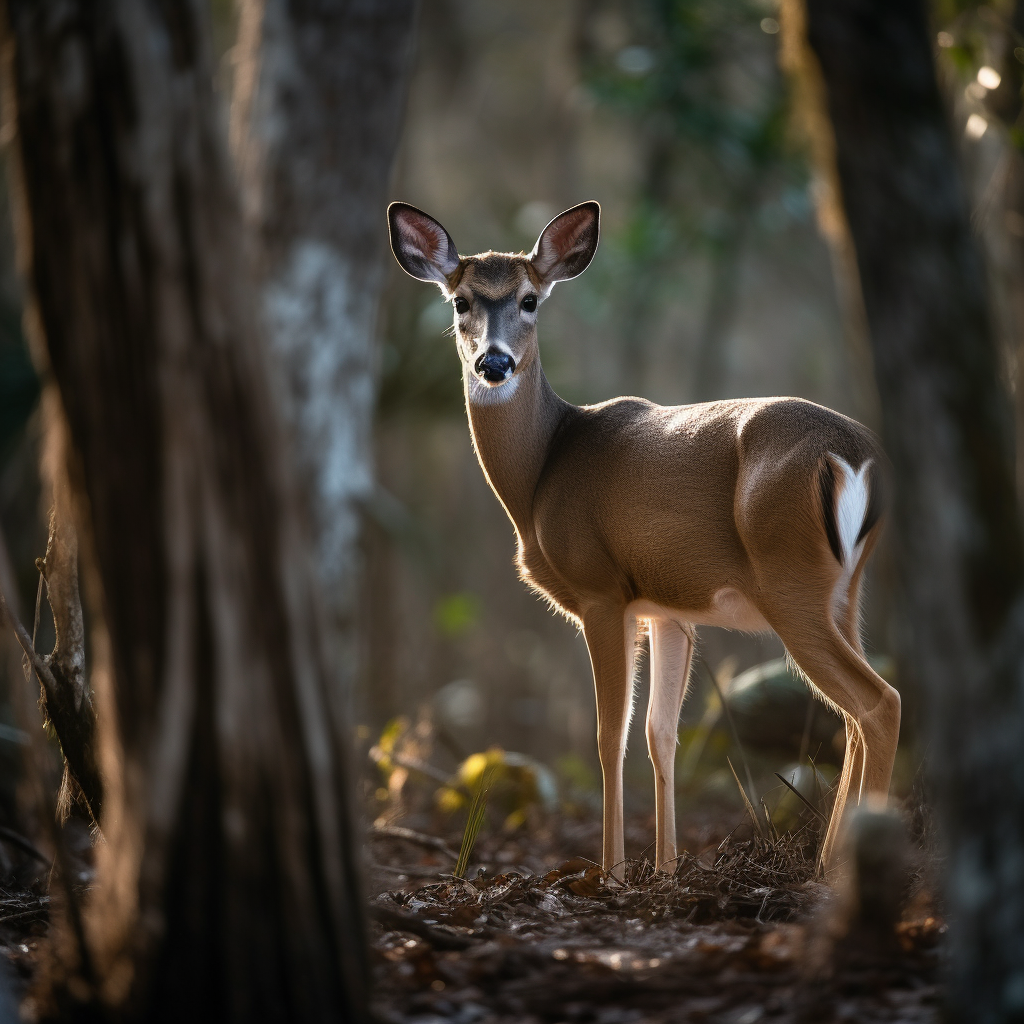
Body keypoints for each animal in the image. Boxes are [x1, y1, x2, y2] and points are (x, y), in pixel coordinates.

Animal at [387, 201, 901, 880]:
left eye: (529, 299)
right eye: (460, 301)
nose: (493, 364)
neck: (542, 473)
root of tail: (854, 457)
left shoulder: (601, 590)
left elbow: (611, 735)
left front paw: (611, 871)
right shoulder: (669, 609)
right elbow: (661, 733)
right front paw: (664, 870)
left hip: (791, 581)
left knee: (878, 702)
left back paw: (843, 867)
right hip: (849, 589)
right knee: (853, 715)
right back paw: (831, 861)